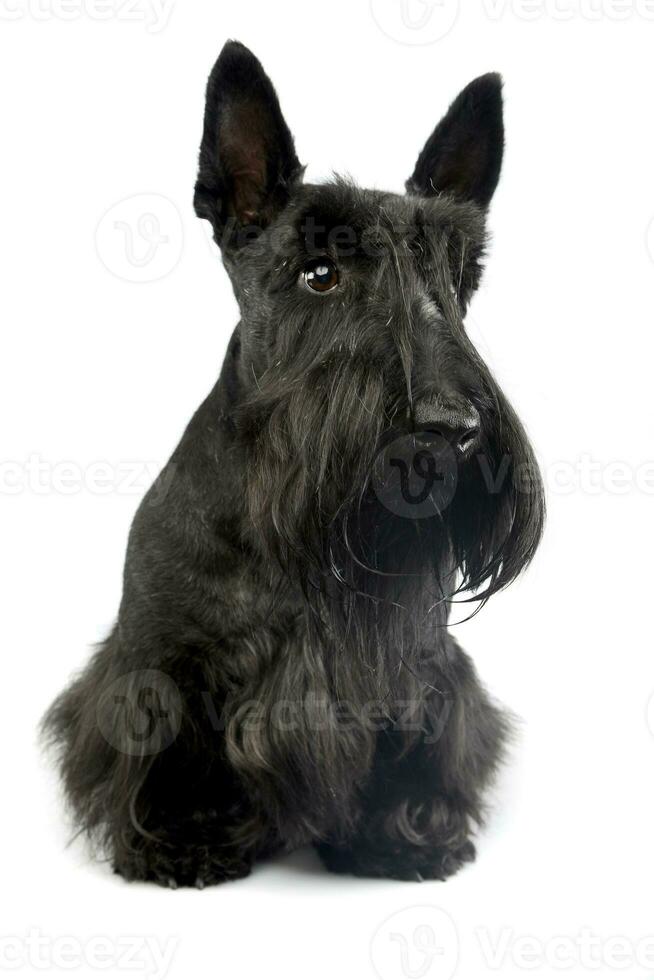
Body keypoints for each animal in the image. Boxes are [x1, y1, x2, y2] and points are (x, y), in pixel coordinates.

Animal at [44, 42, 544, 888]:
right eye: (320, 273)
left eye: (455, 275)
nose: (453, 429)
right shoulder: (160, 664)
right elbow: (170, 749)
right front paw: (186, 836)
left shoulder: (418, 670)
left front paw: (401, 834)